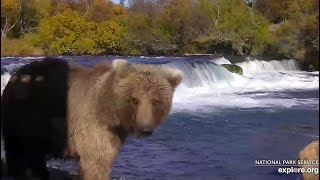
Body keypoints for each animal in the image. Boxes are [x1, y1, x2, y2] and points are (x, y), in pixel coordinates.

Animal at [1, 57, 182, 179]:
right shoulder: (92, 123)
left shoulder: (114, 133)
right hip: (23, 114)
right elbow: (97, 160)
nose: (145, 128)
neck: (110, 111)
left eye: (155, 101)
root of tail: (16, 74)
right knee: (16, 148)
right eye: (134, 99)